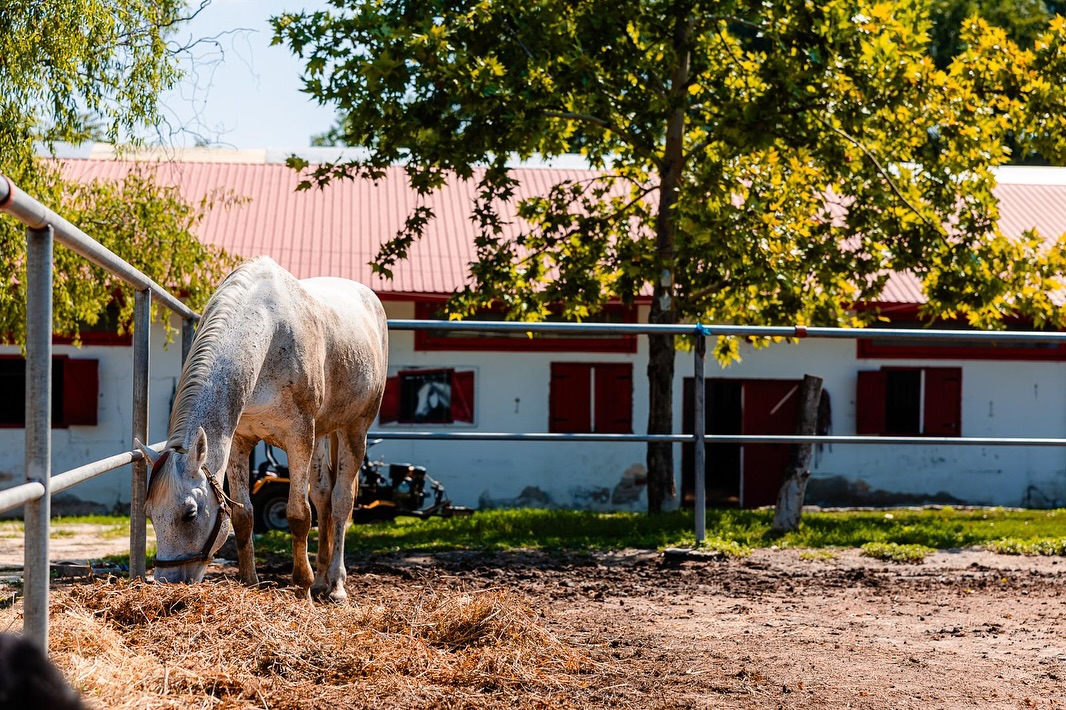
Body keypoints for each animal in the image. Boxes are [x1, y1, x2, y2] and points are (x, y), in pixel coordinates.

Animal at [136, 256, 388, 601]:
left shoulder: (299, 437)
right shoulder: (240, 441)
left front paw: (302, 587)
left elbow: (298, 515)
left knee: (340, 502)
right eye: (149, 513)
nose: (168, 584)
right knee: (323, 495)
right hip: (322, 434)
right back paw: (322, 578)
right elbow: (244, 516)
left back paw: (335, 585)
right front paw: (250, 582)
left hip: (354, 428)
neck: (268, 334)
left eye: (190, 514)